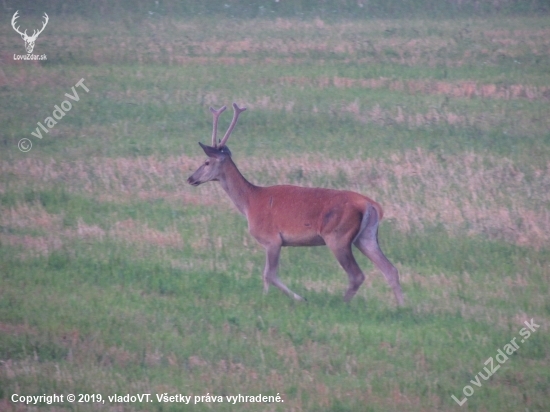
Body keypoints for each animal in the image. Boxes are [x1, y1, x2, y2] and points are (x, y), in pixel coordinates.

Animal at [189, 103, 406, 306]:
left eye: (206, 162)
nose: (190, 178)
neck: (250, 202)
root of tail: (372, 206)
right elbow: (268, 275)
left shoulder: (272, 239)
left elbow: (269, 274)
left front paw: (295, 298)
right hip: (366, 236)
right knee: (390, 269)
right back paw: (403, 306)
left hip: (338, 235)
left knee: (357, 275)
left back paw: (341, 303)